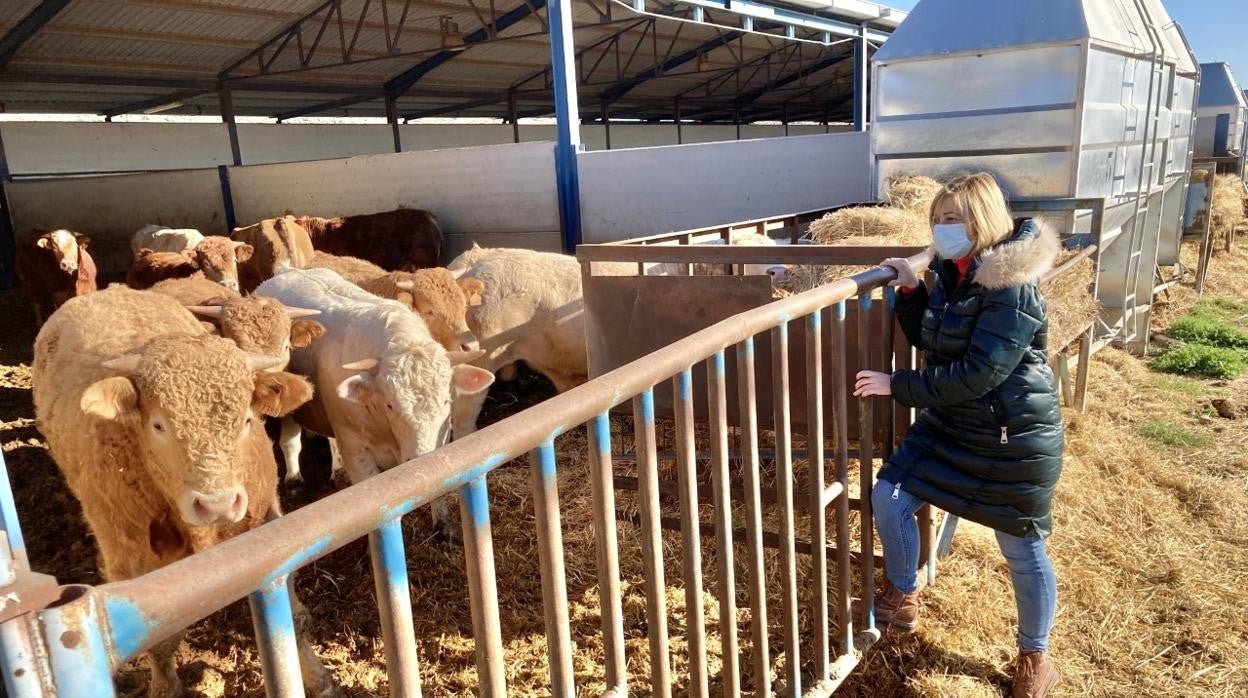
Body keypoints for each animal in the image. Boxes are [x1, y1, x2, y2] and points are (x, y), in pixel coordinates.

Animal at [31, 285, 341, 698]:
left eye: (245, 419)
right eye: (158, 425)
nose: (217, 504)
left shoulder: (268, 527)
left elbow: (293, 614)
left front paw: (320, 680)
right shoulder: (135, 564)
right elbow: (161, 643)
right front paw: (165, 689)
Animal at [255, 265, 494, 534]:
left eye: (446, 402)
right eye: (390, 404)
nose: (418, 462)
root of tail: (286, 270)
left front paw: (444, 523)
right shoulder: (355, 452)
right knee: (290, 440)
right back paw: (294, 478)